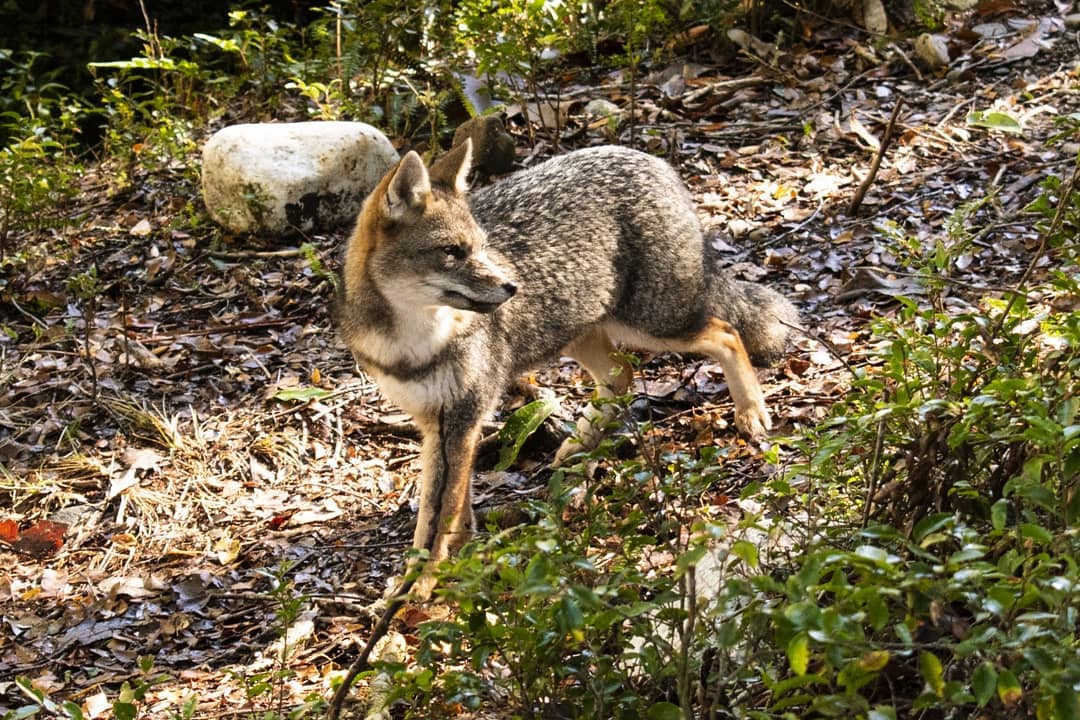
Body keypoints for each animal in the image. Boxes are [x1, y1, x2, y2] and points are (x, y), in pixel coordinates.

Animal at [339, 140, 803, 595]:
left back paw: (750, 411)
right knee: (622, 377)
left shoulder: (465, 416)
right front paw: (436, 564)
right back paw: (581, 443)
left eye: (481, 246)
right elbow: (442, 507)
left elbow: (444, 512)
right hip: (580, 330)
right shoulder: (437, 424)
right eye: (453, 252)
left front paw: (426, 580)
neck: (415, 342)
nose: (512, 287)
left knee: (726, 333)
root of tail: (650, 160)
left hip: (654, 324)